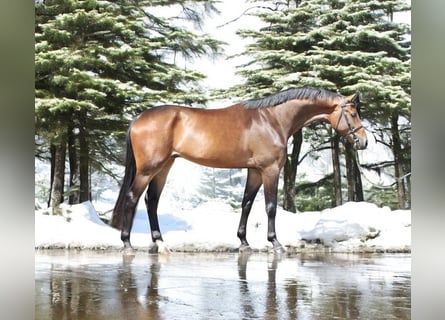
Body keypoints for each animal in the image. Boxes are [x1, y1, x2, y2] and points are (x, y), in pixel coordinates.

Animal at [109, 86, 366, 254]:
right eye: (353, 114)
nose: (363, 141)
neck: (272, 120)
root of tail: (139, 119)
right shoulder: (270, 170)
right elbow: (270, 207)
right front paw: (275, 243)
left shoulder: (254, 171)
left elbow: (247, 204)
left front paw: (244, 242)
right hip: (147, 169)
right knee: (132, 198)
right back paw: (127, 243)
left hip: (164, 167)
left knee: (151, 200)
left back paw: (160, 243)